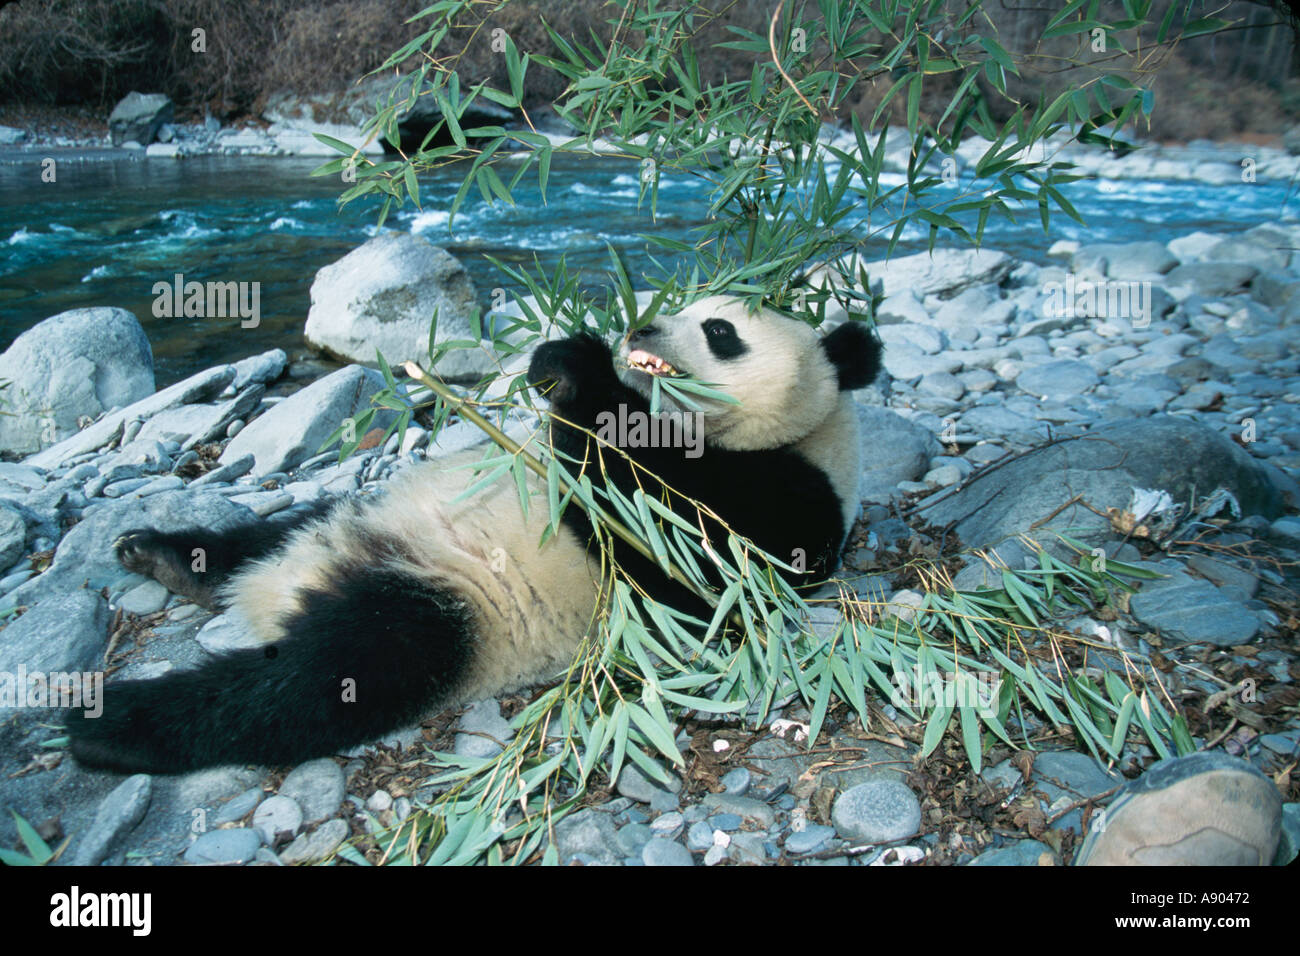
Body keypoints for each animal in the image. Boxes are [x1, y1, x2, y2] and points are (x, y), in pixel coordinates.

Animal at [68, 299, 883, 780]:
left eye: (720, 332)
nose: (642, 329)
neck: (809, 433)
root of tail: (286, 592)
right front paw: (557, 361)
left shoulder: (783, 509)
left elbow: (658, 527)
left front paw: (583, 376)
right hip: (353, 515)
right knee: (266, 535)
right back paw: (166, 556)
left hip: (443, 616)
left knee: (303, 690)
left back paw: (113, 725)